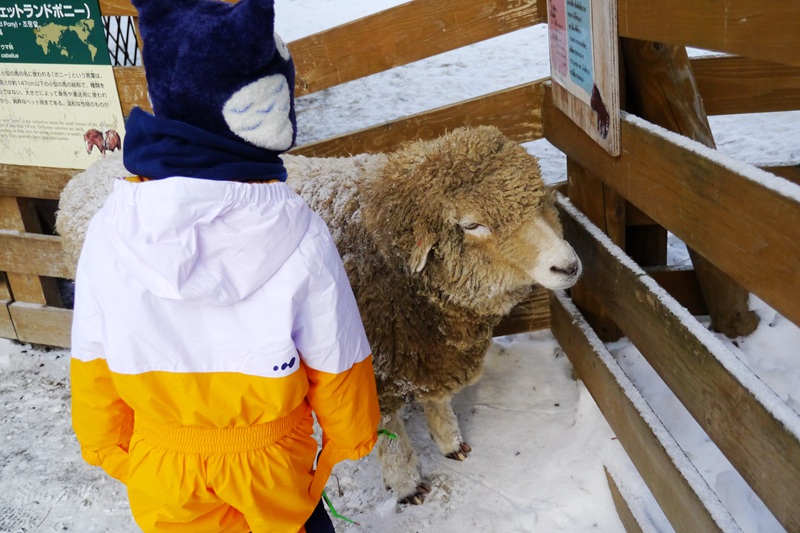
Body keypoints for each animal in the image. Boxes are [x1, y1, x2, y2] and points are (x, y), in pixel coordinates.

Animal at [57, 124, 580, 502]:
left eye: (540, 200)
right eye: (471, 225)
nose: (569, 265)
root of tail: (82, 181)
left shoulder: (425, 351)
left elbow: (437, 402)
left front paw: (451, 443)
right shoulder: (369, 365)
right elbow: (390, 435)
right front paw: (406, 486)